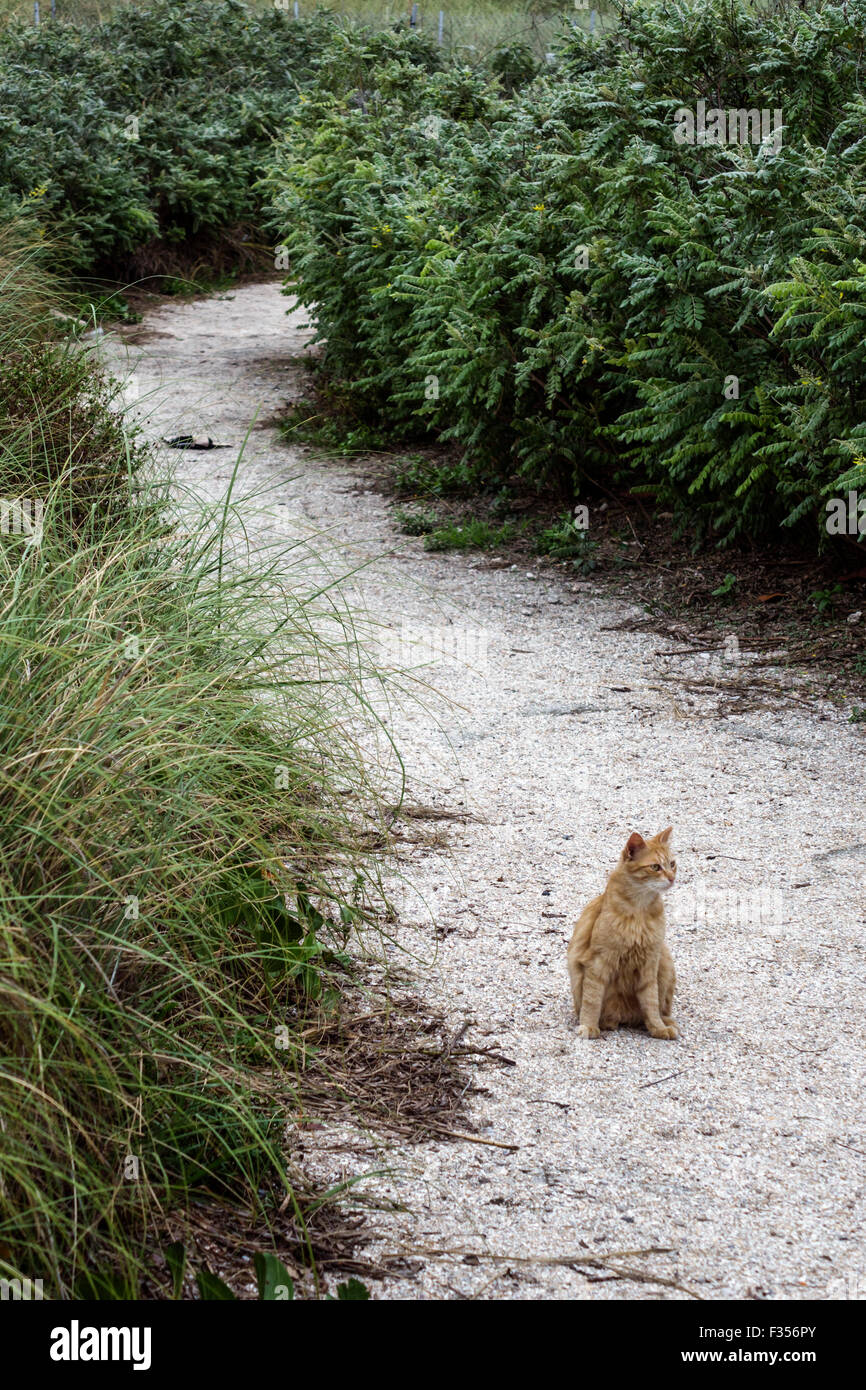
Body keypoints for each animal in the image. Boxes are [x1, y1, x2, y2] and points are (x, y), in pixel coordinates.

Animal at [567, 828, 681, 1039]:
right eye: (655, 867)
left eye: (672, 864)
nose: (672, 878)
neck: (639, 912)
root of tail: (623, 1018)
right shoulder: (599, 961)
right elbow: (592, 1000)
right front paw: (588, 1026)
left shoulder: (650, 963)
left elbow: (651, 1002)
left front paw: (658, 1028)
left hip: (666, 962)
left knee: (660, 1009)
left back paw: (666, 1022)